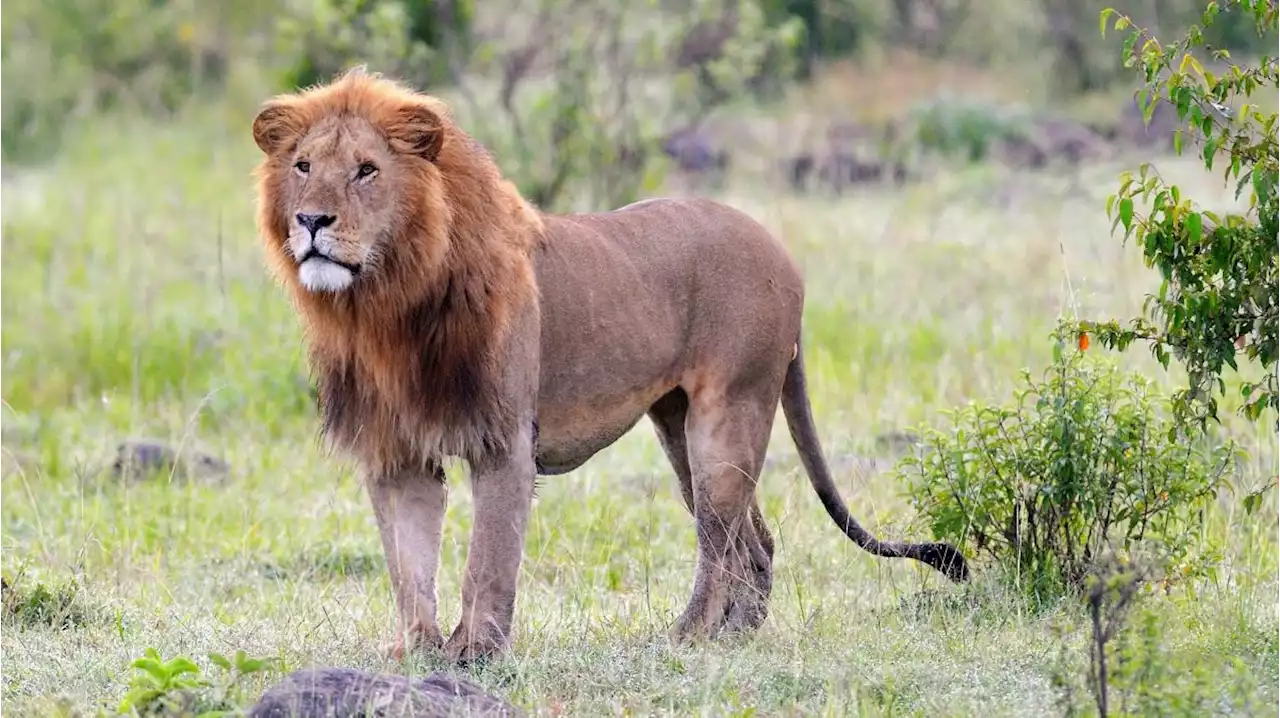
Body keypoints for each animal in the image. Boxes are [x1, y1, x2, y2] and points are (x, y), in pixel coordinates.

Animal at [252, 65, 967, 660]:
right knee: (753, 541)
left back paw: (687, 638)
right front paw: (414, 653)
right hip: (678, 425)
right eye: (304, 165)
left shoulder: (504, 442)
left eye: (367, 170)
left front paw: (474, 655)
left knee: (719, 541)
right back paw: (734, 635)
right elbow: (408, 565)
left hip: (728, 414)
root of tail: (780, 252)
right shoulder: (395, 453)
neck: (384, 307)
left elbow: (486, 560)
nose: (311, 220)